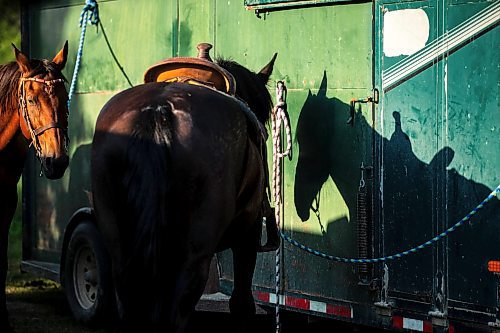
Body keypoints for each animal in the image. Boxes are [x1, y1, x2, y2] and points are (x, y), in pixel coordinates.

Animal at [90, 50, 278, 332]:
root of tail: (159, 110)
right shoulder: (248, 233)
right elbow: (242, 302)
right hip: (194, 253)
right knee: (177, 307)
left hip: (120, 243)